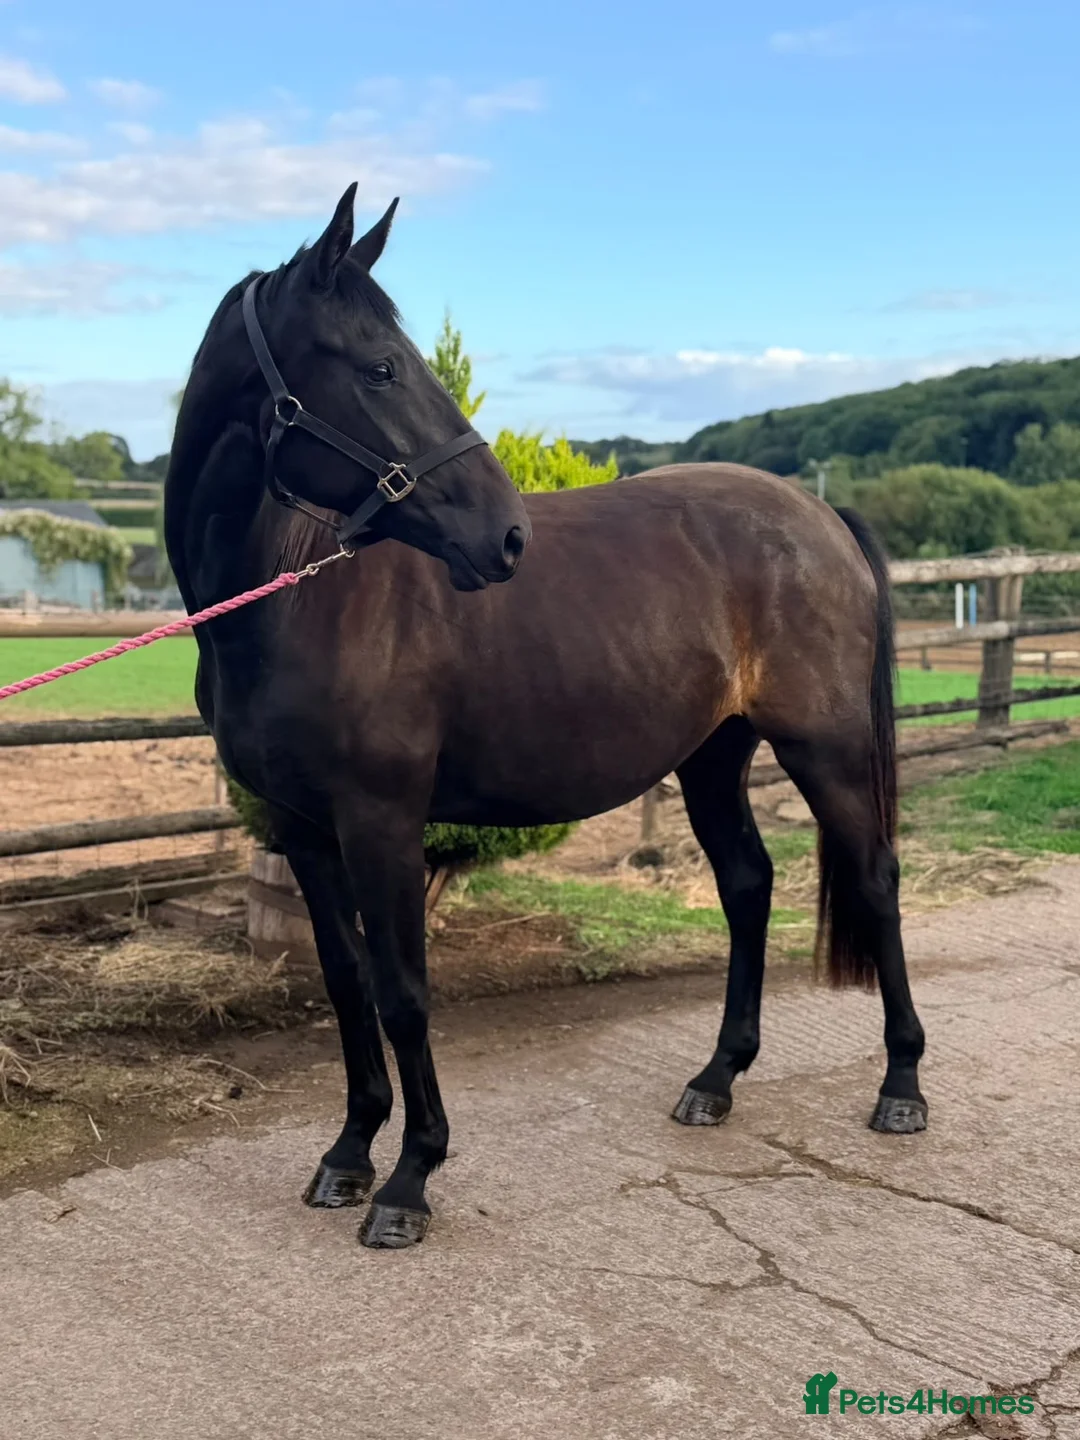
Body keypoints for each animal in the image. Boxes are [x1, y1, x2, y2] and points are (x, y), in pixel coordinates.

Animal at [165, 183, 926, 1250]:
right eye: (380, 366)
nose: (508, 536)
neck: (292, 602)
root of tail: (820, 519)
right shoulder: (304, 831)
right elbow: (347, 983)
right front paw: (349, 1155)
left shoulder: (382, 822)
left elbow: (404, 992)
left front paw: (410, 1181)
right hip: (712, 757)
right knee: (747, 884)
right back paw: (717, 1079)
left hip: (827, 746)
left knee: (875, 879)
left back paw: (902, 1086)